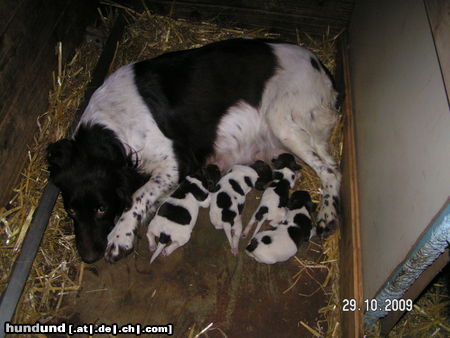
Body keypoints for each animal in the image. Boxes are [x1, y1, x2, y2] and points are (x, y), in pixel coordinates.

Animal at [46, 37, 342, 264]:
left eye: (101, 209)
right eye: (71, 211)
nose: (88, 257)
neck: (111, 129)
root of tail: (322, 68)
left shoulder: (175, 163)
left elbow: (137, 196)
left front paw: (121, 236)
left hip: (283, 120)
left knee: (331, 170)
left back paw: (327, 215)